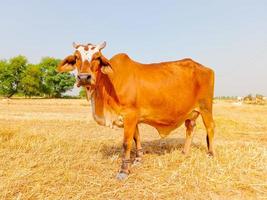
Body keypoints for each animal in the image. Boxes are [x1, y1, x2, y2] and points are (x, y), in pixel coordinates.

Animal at [58, 41, 216, 180]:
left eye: (97, 57)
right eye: (76, 57)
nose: (84, 77)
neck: (108, 83)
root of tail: (205, 68)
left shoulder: (130, 115)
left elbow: (126, 143)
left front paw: (123, 170)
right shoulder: (133, 118)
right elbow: (136, 137)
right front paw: (138, 159)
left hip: (206, 108)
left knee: (210, 128)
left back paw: (211, 154)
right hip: (191, 112)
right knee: (190, 128)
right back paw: (184, 153)